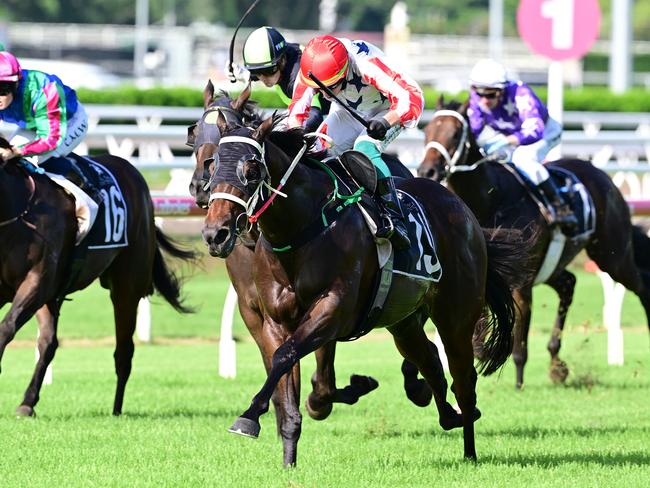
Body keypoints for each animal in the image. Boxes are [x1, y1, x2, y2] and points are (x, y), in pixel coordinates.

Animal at [0, 136, 195, 416]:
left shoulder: (37, 282)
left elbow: (6, 328)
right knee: (48, 343)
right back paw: (27, 402)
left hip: (126, 287)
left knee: (123, 351)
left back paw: (116, 409)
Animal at [202, 114, 532, 466]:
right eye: (213, 164)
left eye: (251, 169)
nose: (215, 234)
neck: (302, 229)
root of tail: (461, 207)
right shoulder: (275, 322)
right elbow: (284, 372)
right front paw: (288, 458)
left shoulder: (333, 311)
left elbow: (284, 356)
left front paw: (249, 417)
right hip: (403, 323)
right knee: (429, 359)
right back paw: (446, 414)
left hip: (456, 315)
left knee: (463, 380)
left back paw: (469, 448)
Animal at [416, 98, 648, 388]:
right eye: (427, 131)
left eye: (456, 133)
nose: (427, 170)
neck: (492, 200)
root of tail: (603, 176)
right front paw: (481, 348)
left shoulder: (521, 283)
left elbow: (519, 338)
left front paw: (515, 379)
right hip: (554, 265)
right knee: (568, 284)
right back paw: (556, 363)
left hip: (612, 255)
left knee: (642, 286)